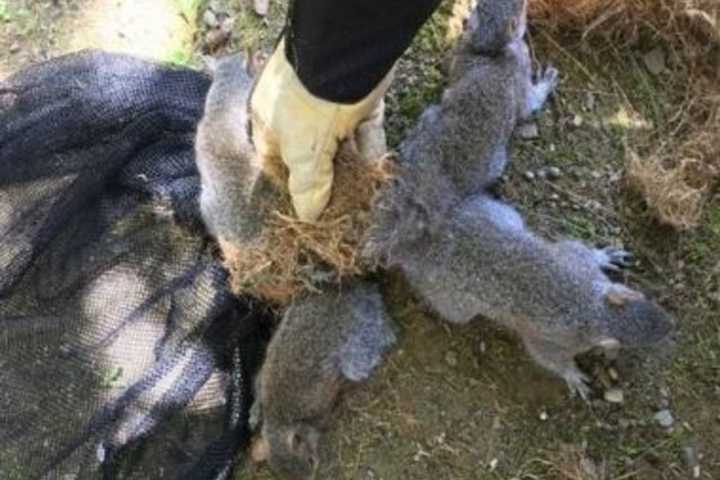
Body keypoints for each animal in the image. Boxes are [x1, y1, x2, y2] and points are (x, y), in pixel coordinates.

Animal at [366, 0, 676, 398]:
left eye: (642, 298)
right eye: (643, 344)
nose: (672, 328)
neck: (592, 308)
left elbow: (578, 251)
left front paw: (606, 255)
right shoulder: (552, 338)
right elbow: (546, 356)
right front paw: (573, 376)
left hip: (496, 212)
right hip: (455, 298)